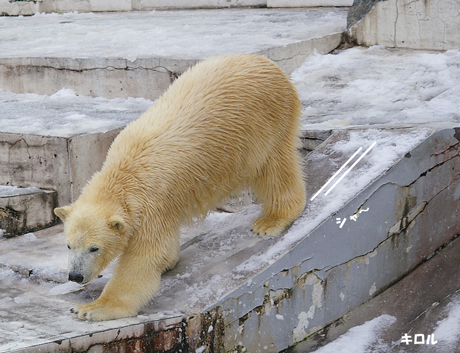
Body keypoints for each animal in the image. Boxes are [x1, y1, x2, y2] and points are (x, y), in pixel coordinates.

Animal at [54, 53, 306, 320]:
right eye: (68, 245)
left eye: (94, 248)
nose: (75, 276)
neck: (124, 173)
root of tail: (267, 63)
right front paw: (169, 261)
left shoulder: (151, 203)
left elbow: (144, 257)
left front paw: (92, 308)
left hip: (264, 122)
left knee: (275, 167)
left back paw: (271, 220)